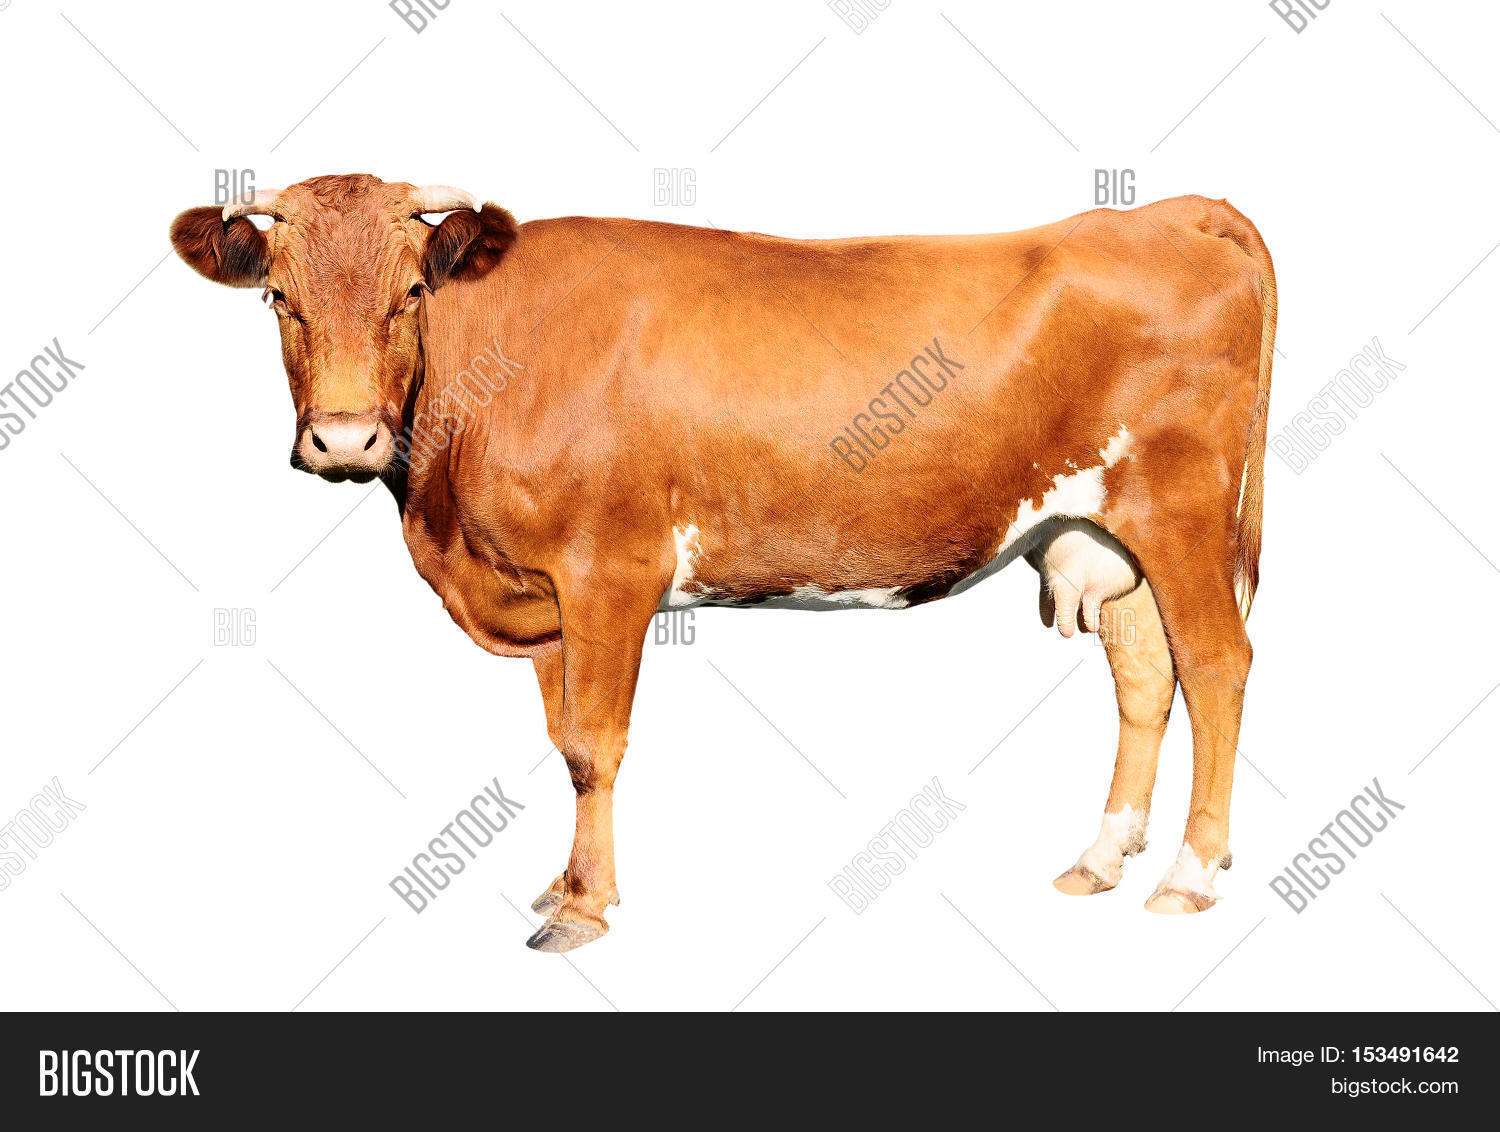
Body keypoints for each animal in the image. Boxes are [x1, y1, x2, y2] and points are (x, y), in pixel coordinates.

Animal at [170, 174, 1274, 952]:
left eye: (409, 292)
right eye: (278, 297)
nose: (344, 439)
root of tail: (1174, 212)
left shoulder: (609, 570)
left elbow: (592, 746)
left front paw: (583, 910)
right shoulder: (546, 598)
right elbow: (561, 735)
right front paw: (563, 882)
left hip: (1180, 510)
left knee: (1218, 665)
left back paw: (1190, 873)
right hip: (1099, 530)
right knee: (1145, 676)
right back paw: (1100, 859)